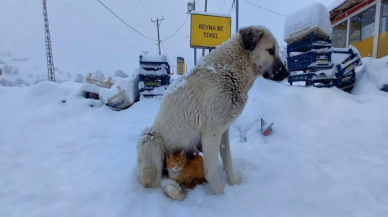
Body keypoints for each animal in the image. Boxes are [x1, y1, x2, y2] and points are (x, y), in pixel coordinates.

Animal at [136, 25, 288, 195]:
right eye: (270, 50)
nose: (287, 73)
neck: (230, 72)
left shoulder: (223, 131)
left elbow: (227, 158)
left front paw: (233, 182)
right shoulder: (211, 133)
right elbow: (211, 168)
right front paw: (219, 192)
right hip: (151, 139)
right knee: (155, 182)